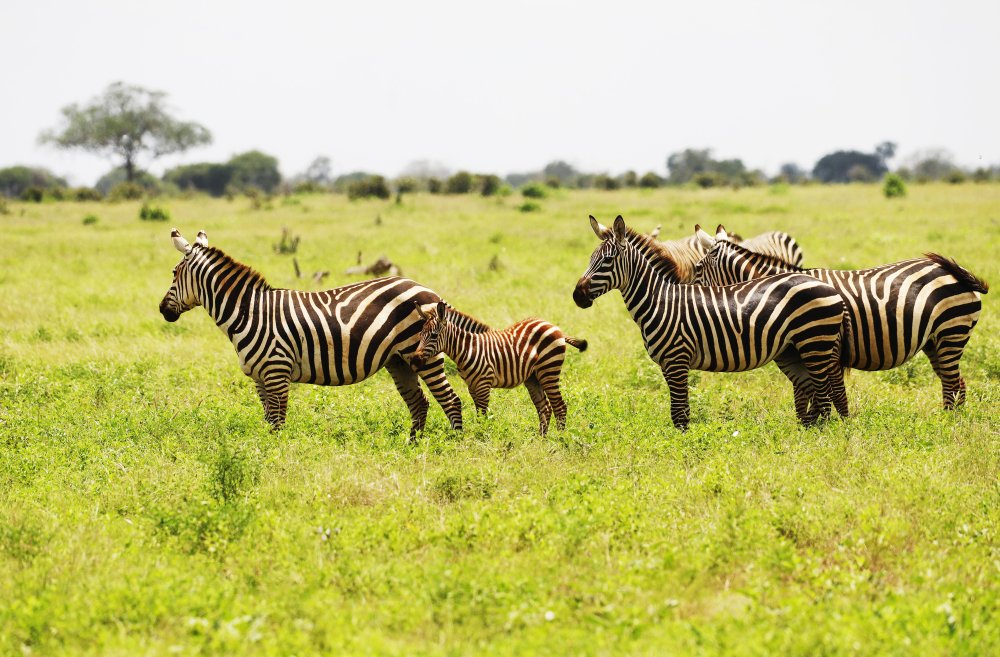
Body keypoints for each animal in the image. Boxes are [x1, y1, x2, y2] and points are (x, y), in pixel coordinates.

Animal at [158, 228, 479, 439]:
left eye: (173, 273)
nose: (162, 310)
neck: (249, 312)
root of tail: (428, 290)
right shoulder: (260, 378)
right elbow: (268, 421)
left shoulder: (276, 371)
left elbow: (278, 422)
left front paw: (276, 460)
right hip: (399, 360)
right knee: (419, 403)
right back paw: (414, 446)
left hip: (425, 354)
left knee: (451, 400)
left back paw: (453, 445)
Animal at [410, 302, 587, 434]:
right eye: (420, 335)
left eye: (433, 335)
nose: (414, 360)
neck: (468, 348)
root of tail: (554, 326)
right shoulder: (472, 386)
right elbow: (479, 414)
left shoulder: (483, 384)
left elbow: (482, 415)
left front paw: (481, 438)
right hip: (533, 377)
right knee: (545, 408)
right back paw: (541, 440)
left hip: (549, 370)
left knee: (559, 407)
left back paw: (559, 440)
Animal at [692, 224, 989, 409]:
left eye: (696, 270)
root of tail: (955, 272)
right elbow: (806, 394)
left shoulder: (829, 348)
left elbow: (833, 393)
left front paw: (838, 429)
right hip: (934, 342)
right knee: (956, 383)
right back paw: (952, 423)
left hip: (951, 332)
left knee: (952, 382)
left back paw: (949, 426)